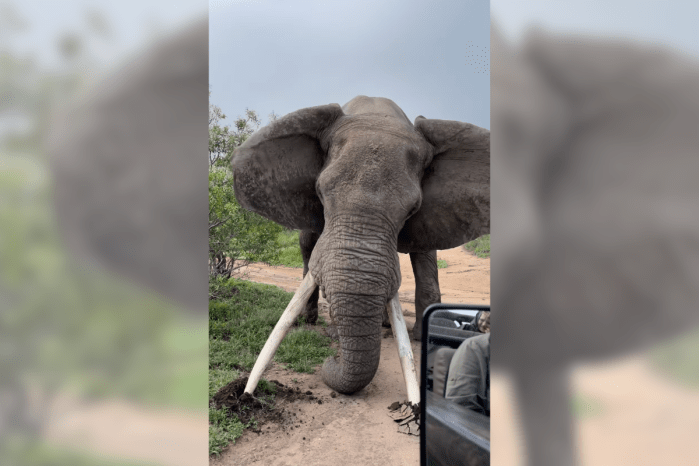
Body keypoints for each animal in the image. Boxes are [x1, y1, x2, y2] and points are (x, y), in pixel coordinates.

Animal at [232, 95, 489, 394]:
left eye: (413, 208)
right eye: (319, 193)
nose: (330, 362)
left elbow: (425, 261)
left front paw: (420, 337)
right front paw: (333, 333)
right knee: (307, 247)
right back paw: (309, 321)